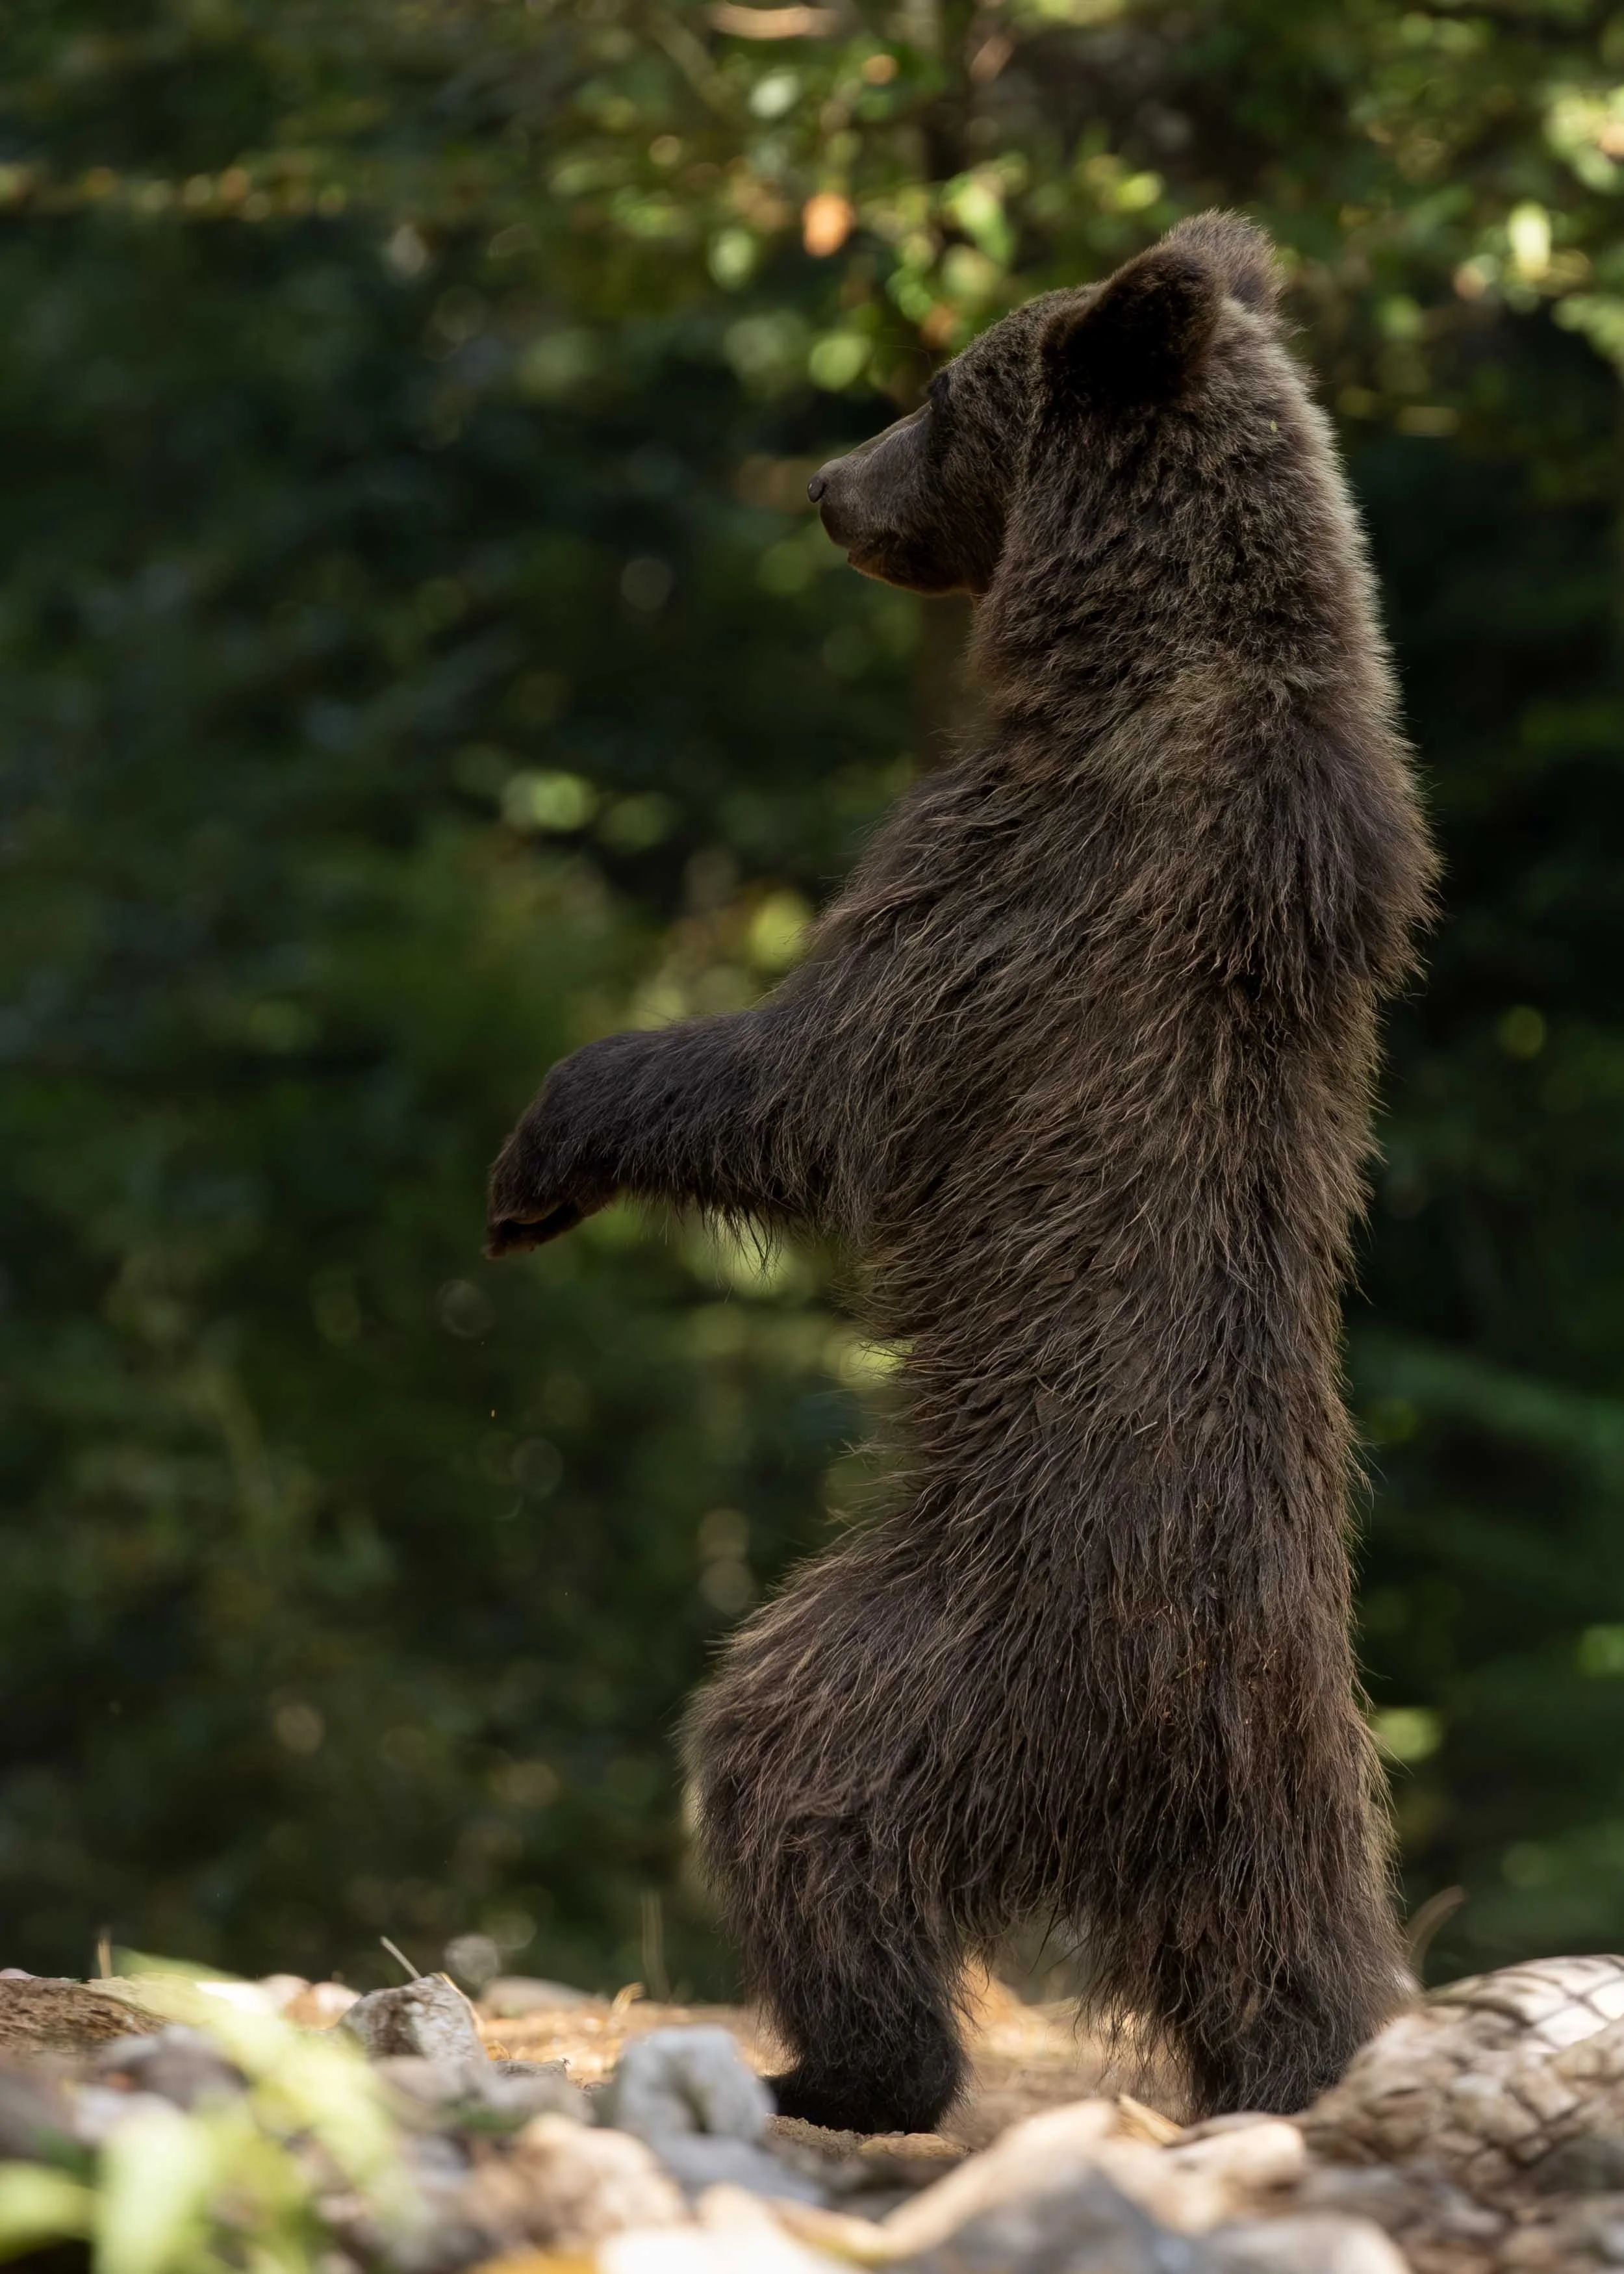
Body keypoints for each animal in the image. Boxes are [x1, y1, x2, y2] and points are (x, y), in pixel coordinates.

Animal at [486, 211, 1437, 2133]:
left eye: (937, 392)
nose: (828, 487)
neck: (1135, 655)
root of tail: (1170, 1737)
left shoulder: (1004, 886)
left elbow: (804, 1085)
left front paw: (538, 1154)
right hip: (1294, 1772)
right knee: (1295, 1937)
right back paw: (1306, 2060)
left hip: (950, 1648)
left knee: (790, 1768)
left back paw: (840, 2066)